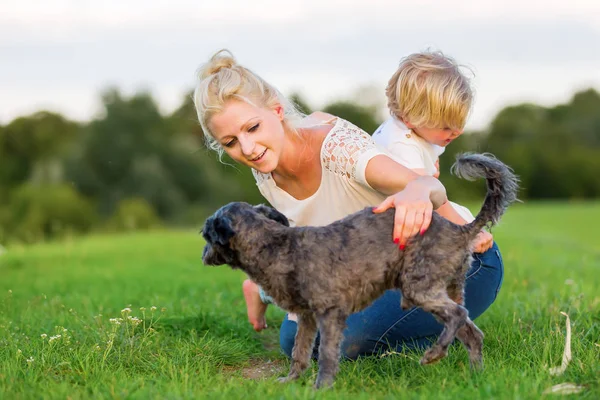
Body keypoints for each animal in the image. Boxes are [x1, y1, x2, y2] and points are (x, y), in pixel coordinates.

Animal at [203, 153, 520, 388]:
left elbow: (327, 353)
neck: (275, 245)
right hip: (444, 289)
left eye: (206, 236)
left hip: (420, 287)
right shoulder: (307, 317)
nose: (204, 255)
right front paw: (291, 381)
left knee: (457, 316)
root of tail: (459, 231)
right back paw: (476, 377)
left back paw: (433, 355)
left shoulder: (331, 314)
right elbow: (300, 351)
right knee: (471, 332)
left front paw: (322, 388)